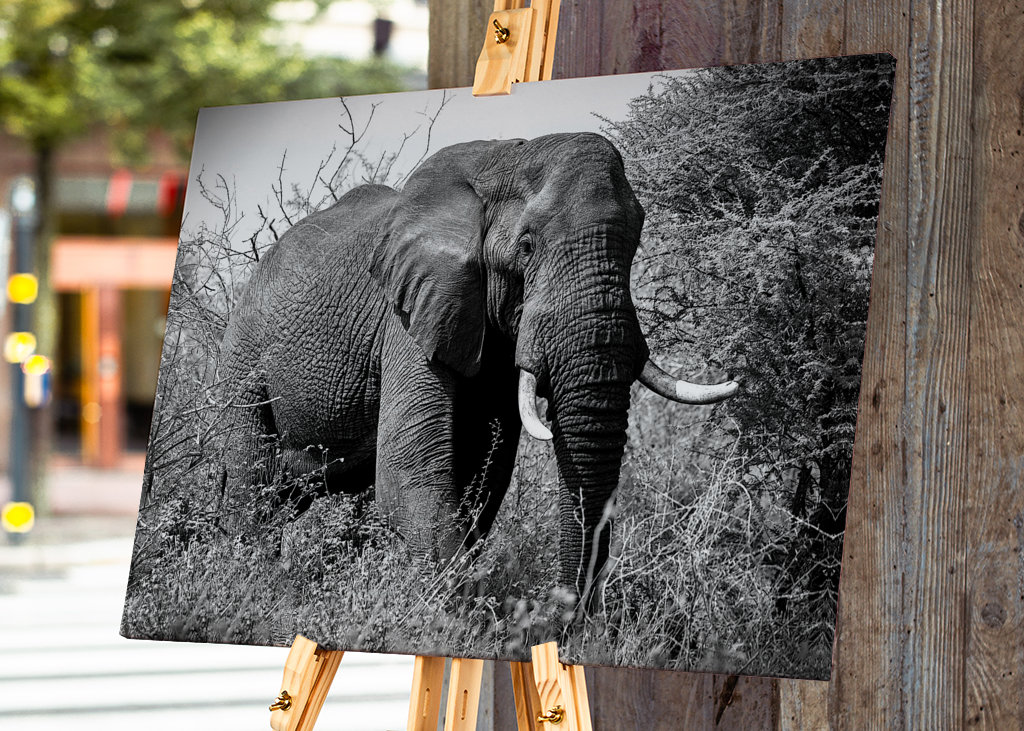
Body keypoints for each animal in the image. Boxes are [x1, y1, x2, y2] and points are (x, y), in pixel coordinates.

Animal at [216, 132, 737, 603]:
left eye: (634, 246)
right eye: (526, 247)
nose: (562, 620)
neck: (506, 158)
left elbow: (484, 478)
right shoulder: (410, 313)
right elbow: (409, 476)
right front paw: (458, 619)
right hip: (243, 359)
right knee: (254, 485)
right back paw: (253, 580)